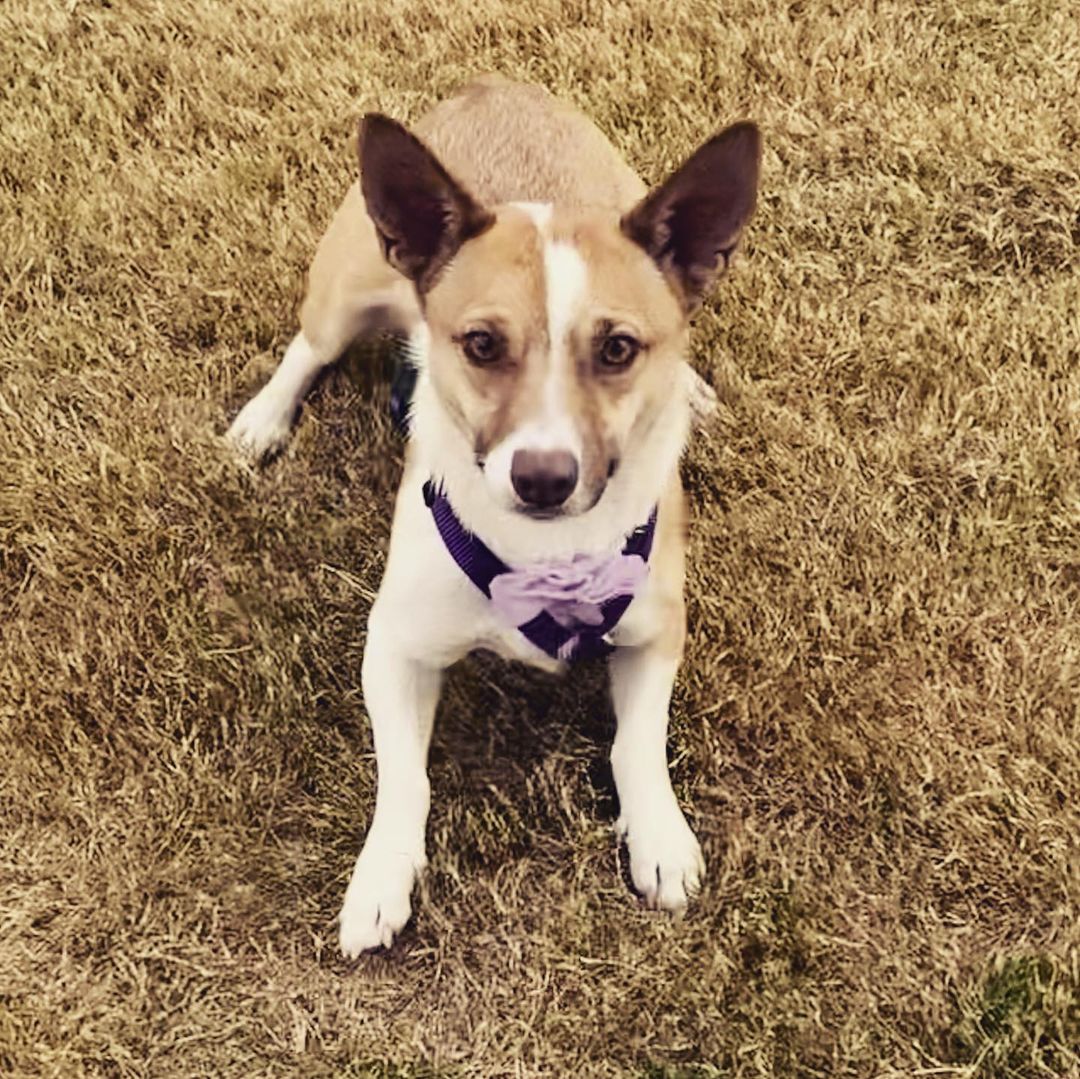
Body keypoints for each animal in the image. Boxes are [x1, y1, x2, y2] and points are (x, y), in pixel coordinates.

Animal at [227, 73, 760, 954]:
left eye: (617, 349)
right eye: (480, 343)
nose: (542, 477)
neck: (549, 554)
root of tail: (493, 87)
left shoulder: (655, 632)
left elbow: (637, 744)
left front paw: (658, 834)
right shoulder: (395, 645)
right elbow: (404, 778)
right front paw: (380, 878)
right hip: (347, 289)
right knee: (308, 348)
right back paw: (263, 419)